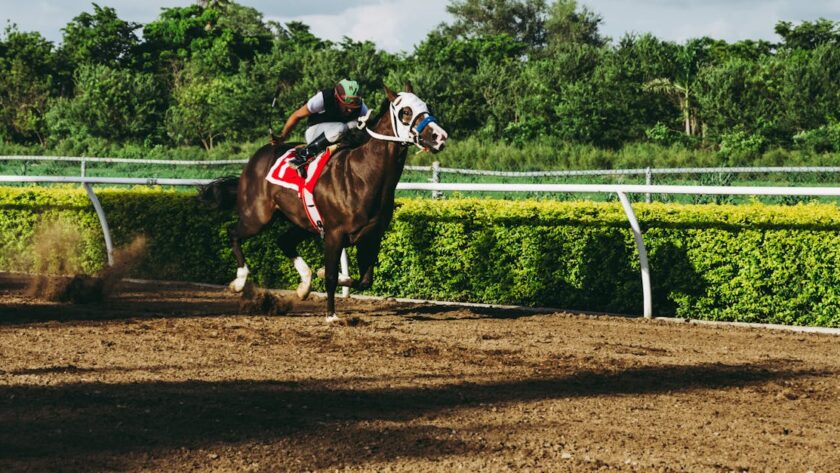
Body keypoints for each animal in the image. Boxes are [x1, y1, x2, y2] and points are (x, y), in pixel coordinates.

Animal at [200, 84, 448, 322]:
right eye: (405, 111)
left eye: (426, 106)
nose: (440, 136)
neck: (363, 175)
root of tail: (258, 156)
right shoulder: (334, 234)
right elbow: (330, 276)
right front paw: (331, 315)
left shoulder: (371, 236)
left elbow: (364, 280)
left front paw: (323, 276)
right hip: (258, 216)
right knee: (233, 232)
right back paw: (240, 281)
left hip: (302, 222)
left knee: (283, 241)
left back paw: (304, 285)